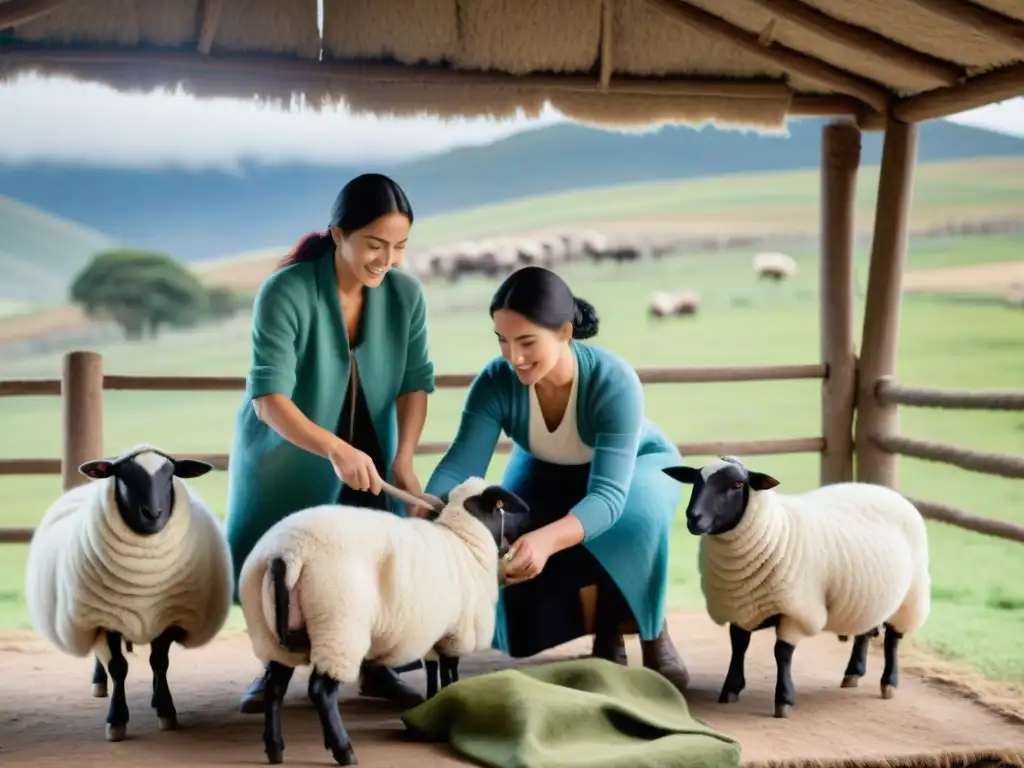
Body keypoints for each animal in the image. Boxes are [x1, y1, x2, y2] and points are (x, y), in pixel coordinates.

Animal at [23, 444, 232, 745]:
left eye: (170, 475)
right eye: (123, 477)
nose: (153, 514)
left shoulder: (168, 616)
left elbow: (160, 662)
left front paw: (166, 710)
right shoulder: (107, 619)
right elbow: (118, 667)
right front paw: (116, 720)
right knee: (101, 659)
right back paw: (99, 683)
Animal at [236, 479, 532, 765]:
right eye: (504, 507)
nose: (528, 525)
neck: (465, 540)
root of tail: (285, 555)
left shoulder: (434, 634)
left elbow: (433, 671)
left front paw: (429, 709)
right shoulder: (457, 633)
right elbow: (450, 673)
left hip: (271, 636)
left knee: (275, 689)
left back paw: (275, 748)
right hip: (338, 626)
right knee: (321, 691)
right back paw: (343, 751)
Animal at [659, 456, 933, 720]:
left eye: (737, 484)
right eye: (696, 480)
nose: (693, 517)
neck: (774, 529)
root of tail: (887, 492)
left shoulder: (796, 610)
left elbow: (782, 653)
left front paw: (783, 700)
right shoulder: (741, 604)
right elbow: (738, 646)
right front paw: (731, 689)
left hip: (910, 596)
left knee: (893, 640)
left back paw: (889, 683)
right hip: (869, 594)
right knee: (864, 632)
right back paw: (853, 673)